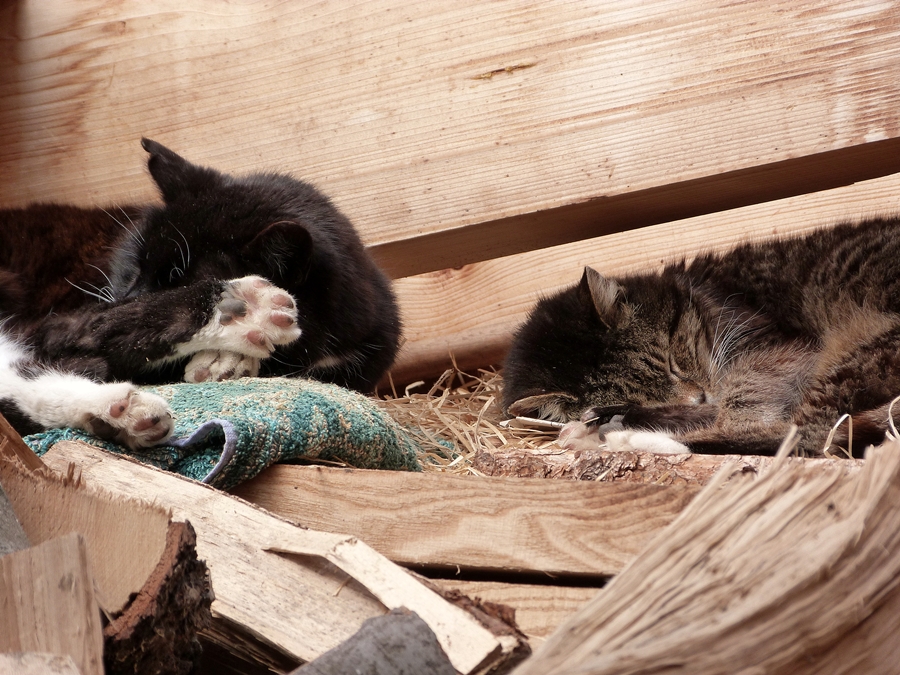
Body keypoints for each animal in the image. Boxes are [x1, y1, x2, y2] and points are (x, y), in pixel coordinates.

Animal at [0, 139, 400, 448]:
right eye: (134, 266)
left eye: (176, 278)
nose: (125, 296)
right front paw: (230, 351)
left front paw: (230, 361)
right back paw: (245, 311)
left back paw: (119, 415)